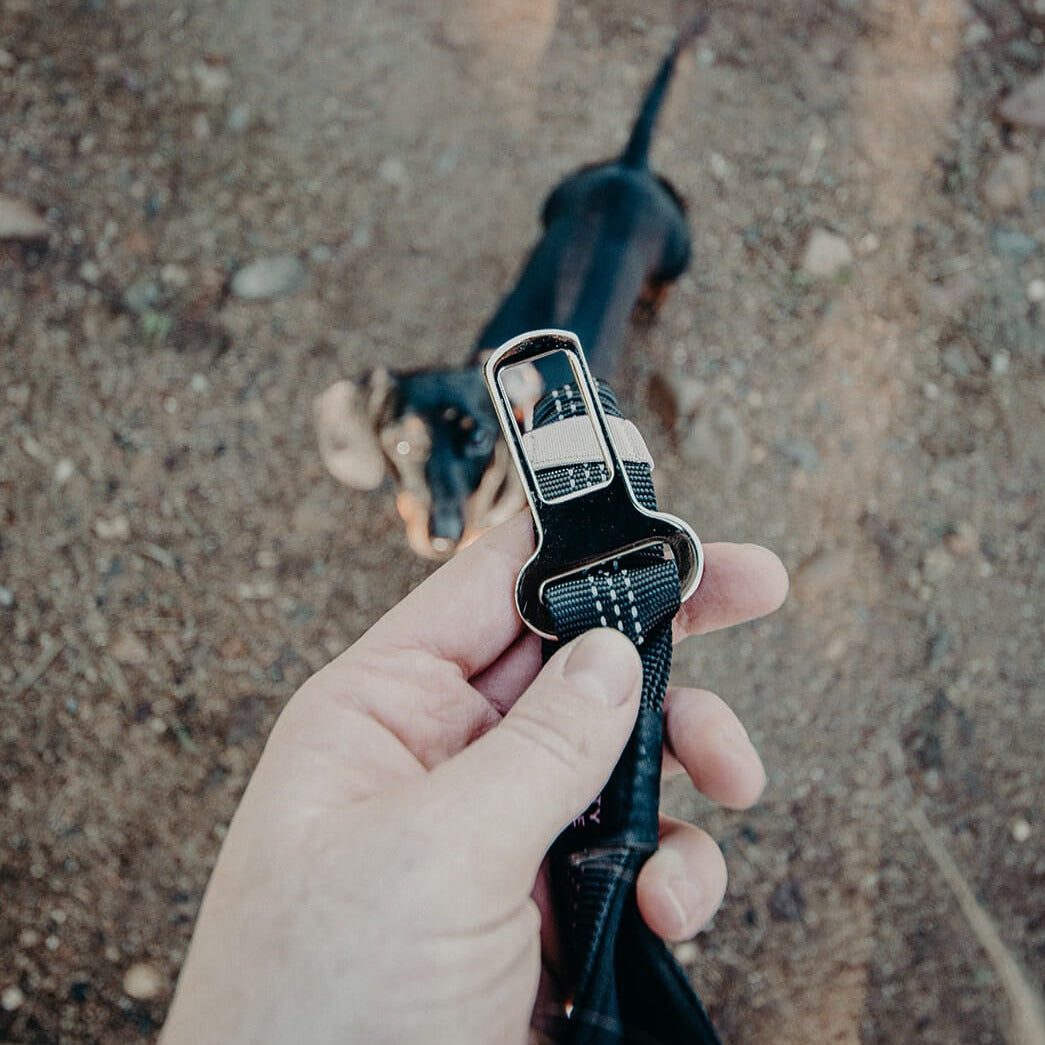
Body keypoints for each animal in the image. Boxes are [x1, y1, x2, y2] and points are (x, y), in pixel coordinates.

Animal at [311, 20, 702, 560]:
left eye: (479, 440)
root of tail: (630, 168)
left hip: (678, 249)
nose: (443, 535)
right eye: (403, 446)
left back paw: (650, 305)